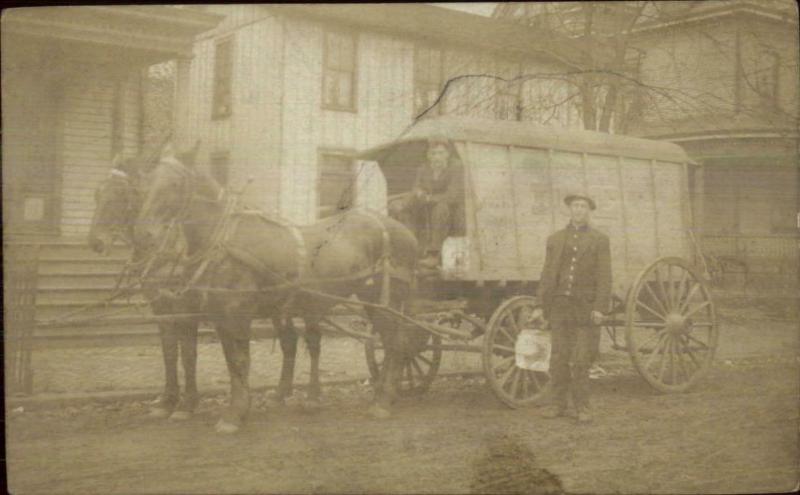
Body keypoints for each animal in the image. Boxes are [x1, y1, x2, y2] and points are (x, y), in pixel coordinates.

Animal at [132, 149, 422, 432]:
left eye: (174, 184)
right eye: (146, 184)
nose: (145, 234)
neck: (223, 240)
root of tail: (406, 232)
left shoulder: (236, 313)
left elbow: (239, 361)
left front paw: (235, 413)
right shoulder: (218, 315)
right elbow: (230, 360)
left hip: (386, 298)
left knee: (396, 343)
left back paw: (383, 401)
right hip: (372, 300)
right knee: (391, 342)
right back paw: (384, 394)